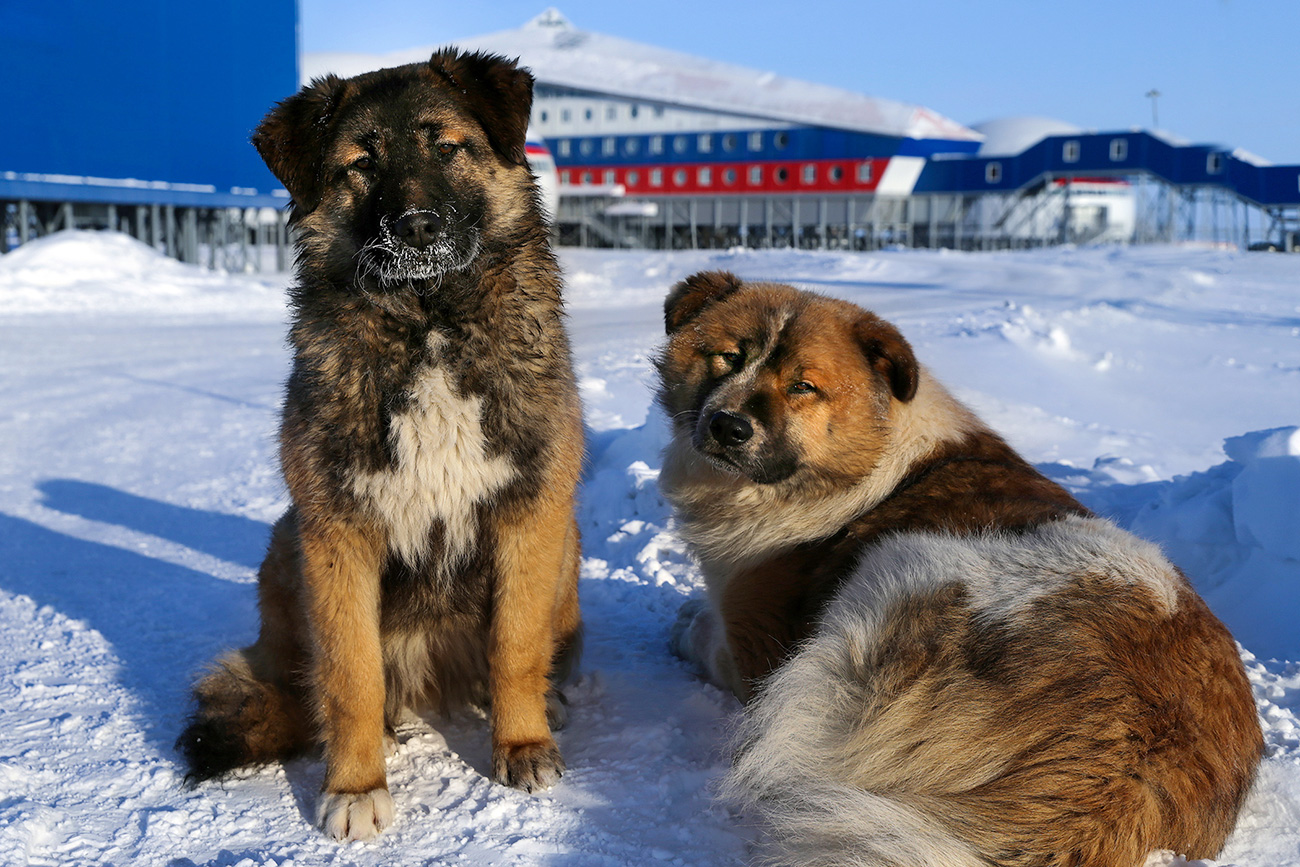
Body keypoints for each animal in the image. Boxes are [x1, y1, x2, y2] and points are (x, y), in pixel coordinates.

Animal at [175, 49, 582, 842]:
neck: (428, 325)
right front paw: (355, 784)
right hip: (285, 545)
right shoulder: (337, 531)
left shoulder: (531, 508)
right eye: (361, 164)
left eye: (447, 147)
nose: (417, 226)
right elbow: (351, 673)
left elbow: (516, 646)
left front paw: (522, 743)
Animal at [660, 272, 1258, 867]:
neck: (864, 463)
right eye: (728, 357)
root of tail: (1134, 758)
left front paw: (686, 623)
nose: (729, 426)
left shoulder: (756, 648)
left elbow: (709, 641)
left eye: (804, 386)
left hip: (900, 572)